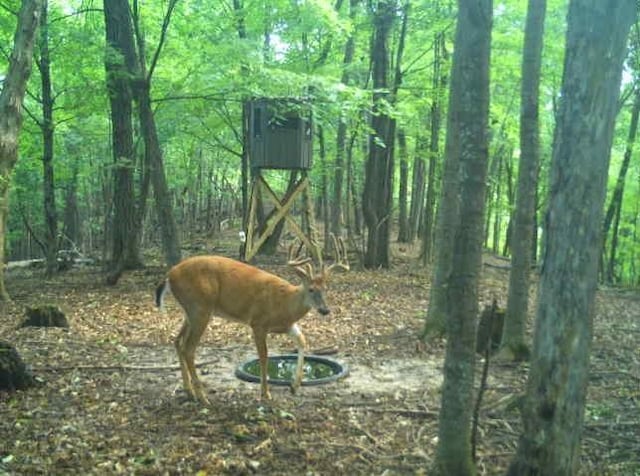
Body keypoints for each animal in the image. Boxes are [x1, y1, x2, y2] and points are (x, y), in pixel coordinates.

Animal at [154, 236, 350, 404]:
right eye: (311, 289)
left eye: (325, 289)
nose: (325, 310)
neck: (284, 304)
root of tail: (169, 275)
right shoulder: (258, 322)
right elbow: (264, 356)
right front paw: (266, 393)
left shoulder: (287, 325)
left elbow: (302, 341)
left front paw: (294, 386)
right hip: (200, 307)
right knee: (189, 348)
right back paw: (202, 397)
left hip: (189, 311)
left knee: (178, 342)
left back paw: (189, 392)